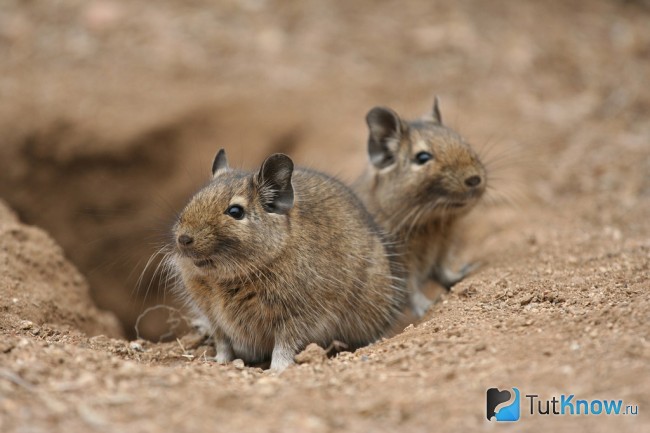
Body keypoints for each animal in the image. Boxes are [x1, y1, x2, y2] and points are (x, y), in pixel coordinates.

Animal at [171, 150, 407, 371]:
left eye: (235, 211)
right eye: (194, 198)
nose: (183, 239)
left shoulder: (297, 315)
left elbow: (284, 345)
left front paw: (277, 369)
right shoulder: (214, 317)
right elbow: (223, 344)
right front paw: (219, 361)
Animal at [354, 97, 486, 317]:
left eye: (463, 140)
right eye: (422, 158)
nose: (475, 179)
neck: (431, 224)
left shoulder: (443, 247)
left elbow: (443, 270)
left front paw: (465, 271)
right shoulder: (401, 263)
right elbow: (410, 289)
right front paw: (427, 306)